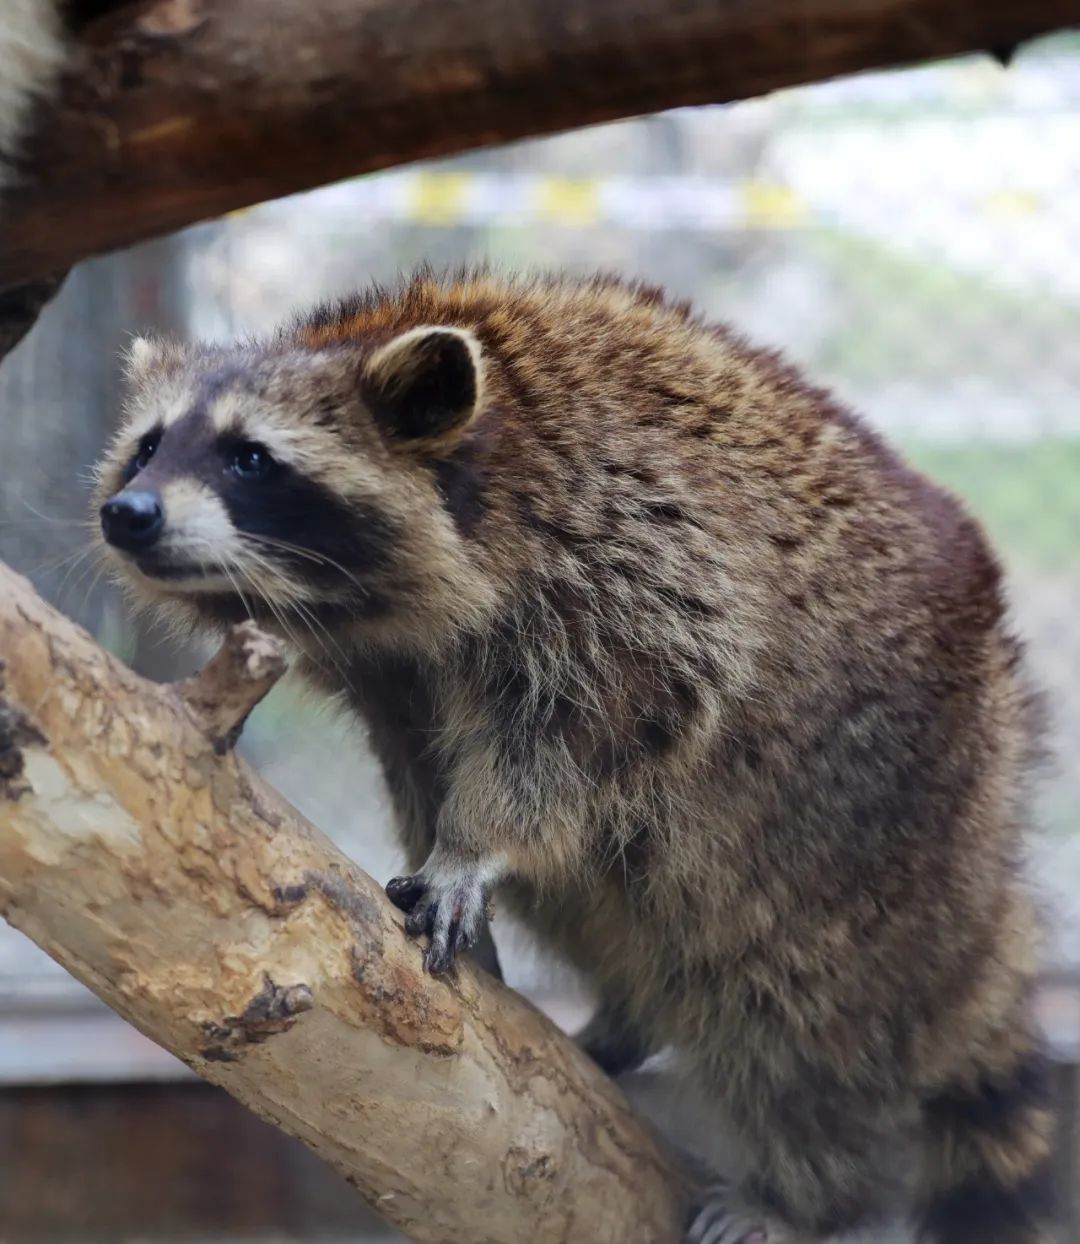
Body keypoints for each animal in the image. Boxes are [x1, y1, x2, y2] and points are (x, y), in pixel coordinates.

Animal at [90, 267, 1055, 1239]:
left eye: (249, 458)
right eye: (146, 448)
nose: (126, 513)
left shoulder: (634, 560)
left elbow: (593, 729)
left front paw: (471, 846)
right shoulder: (393, 677)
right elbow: (420, 762)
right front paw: (438, 840)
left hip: (876, 829)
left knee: (804, 1012)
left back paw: (804, 1188)